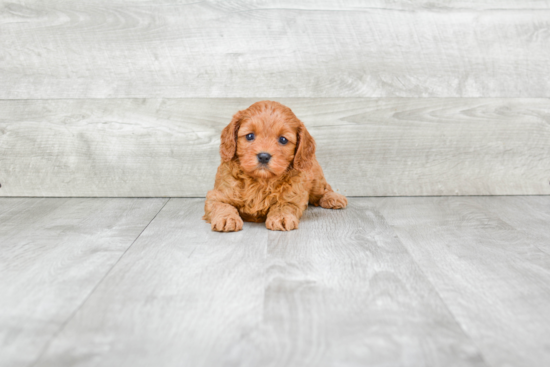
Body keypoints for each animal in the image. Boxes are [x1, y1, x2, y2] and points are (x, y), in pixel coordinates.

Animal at [203, 100, 350, 231]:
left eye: (283, 139)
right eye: (250, 136)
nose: (264, 156)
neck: (261, 181)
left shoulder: (293, 195)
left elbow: (284, 204)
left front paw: (281, 217)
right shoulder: (217, 194)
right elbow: (222, 205)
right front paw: (226, 218)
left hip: (315, 179)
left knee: (324, 189)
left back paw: (333, 198)